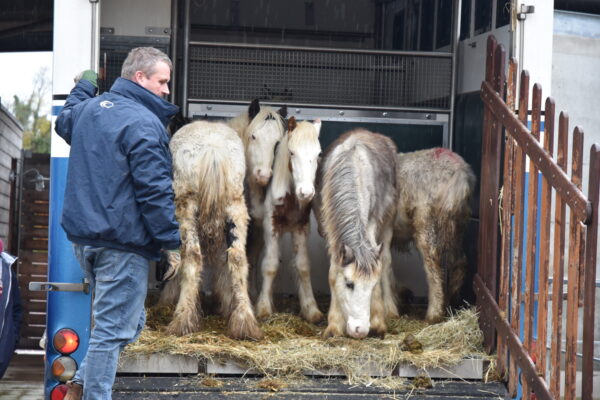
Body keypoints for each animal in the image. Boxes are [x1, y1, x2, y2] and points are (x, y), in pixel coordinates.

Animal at [162, 119, 262, 340]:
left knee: (192, 255)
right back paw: (244, 322)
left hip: (186, 208)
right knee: (237, 257)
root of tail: (213, 149)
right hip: (235, 208)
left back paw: (183, 320)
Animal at [255, 117, 326, 324]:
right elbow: (270, 265)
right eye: (292, 152)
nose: (306, 192)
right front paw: (263, 308)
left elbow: (303, 266)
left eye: (319, 154)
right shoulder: (270, 226)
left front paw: (311, 309)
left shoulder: (301, 227)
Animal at [314, 129, 398, 338]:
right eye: (349, 284)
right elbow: (333, 273)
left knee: (386, 261)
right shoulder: (330, 230)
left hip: (389, 224)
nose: (361, 330)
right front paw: (334, 324)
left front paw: (377, 322)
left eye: (372, 286)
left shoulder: (372, 225)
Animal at [392, 148, 476, 324]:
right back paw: (450, 303)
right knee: (460, 261)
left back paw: (434, 314)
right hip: (456, 224)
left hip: (426, 219)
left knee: (433, 264)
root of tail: (461, 171)